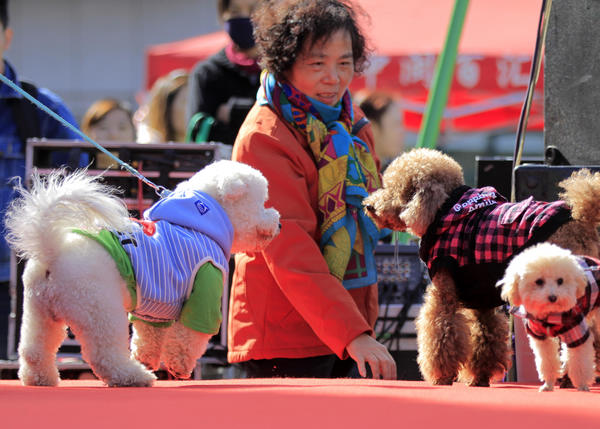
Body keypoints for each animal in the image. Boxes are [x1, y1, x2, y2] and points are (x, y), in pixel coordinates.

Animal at [3, 159, 280, 386]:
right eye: (261, 203)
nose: (277, 222)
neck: (199, 224)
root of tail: (53, 250)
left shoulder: (157, 303)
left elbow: (150, 334)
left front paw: (147, 357)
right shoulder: (204, 288)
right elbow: (189, 337)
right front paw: (179, 366)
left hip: (39, 311)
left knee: (34, 349)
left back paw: (39, 378)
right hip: (99, 308)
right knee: (104, 354)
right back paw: (133, 376)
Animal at [500, 242, 600, 390]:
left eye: (560, 280)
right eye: (539, 281)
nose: (553, 297)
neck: (549, 315)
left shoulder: (577, 331)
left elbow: (580, 361)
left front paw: (582, 385)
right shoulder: (540, 337)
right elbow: (546, 361)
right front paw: (548, 384)